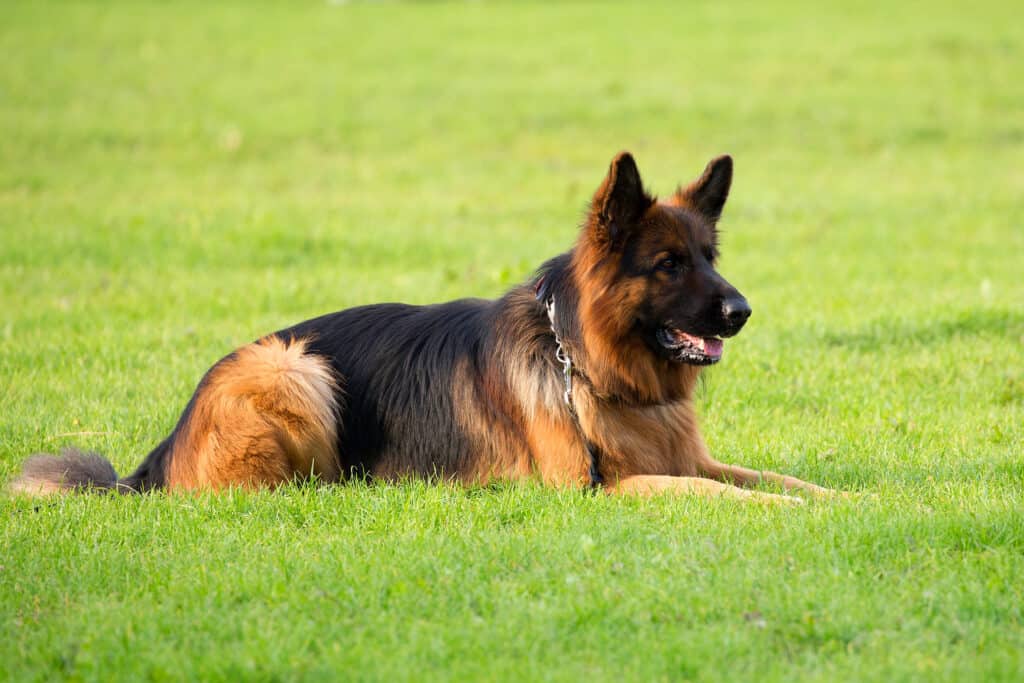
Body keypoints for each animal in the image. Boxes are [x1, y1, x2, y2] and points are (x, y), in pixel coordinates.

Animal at [12, 156, 835, 507]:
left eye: (709, 258)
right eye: (668, 265)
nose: (742, 311)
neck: (585, 363)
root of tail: (151, 460)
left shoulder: (694, 458)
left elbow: (777, 478)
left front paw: (850, 502)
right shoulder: (606, 487)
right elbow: (726, 495)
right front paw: (788, 515)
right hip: (291, 367)